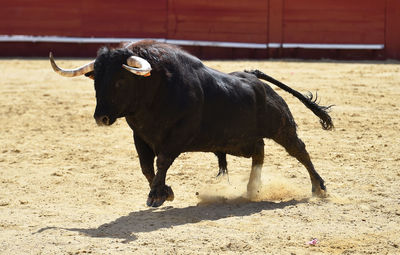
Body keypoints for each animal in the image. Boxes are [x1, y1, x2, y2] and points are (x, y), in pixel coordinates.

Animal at [48, 39, 332, 207]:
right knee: (260, 151)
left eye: (120, 81)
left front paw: (156, 195)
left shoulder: (177, 136)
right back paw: (253, 189)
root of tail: (254, 77)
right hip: (238, 141)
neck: (155, 92)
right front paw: (164, 191)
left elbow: (161, 161)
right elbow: (146, 166)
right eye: (96, 81)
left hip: (281, 126)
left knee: (299, 150)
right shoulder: (139, 136)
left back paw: (318, 187)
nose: (101, 118)